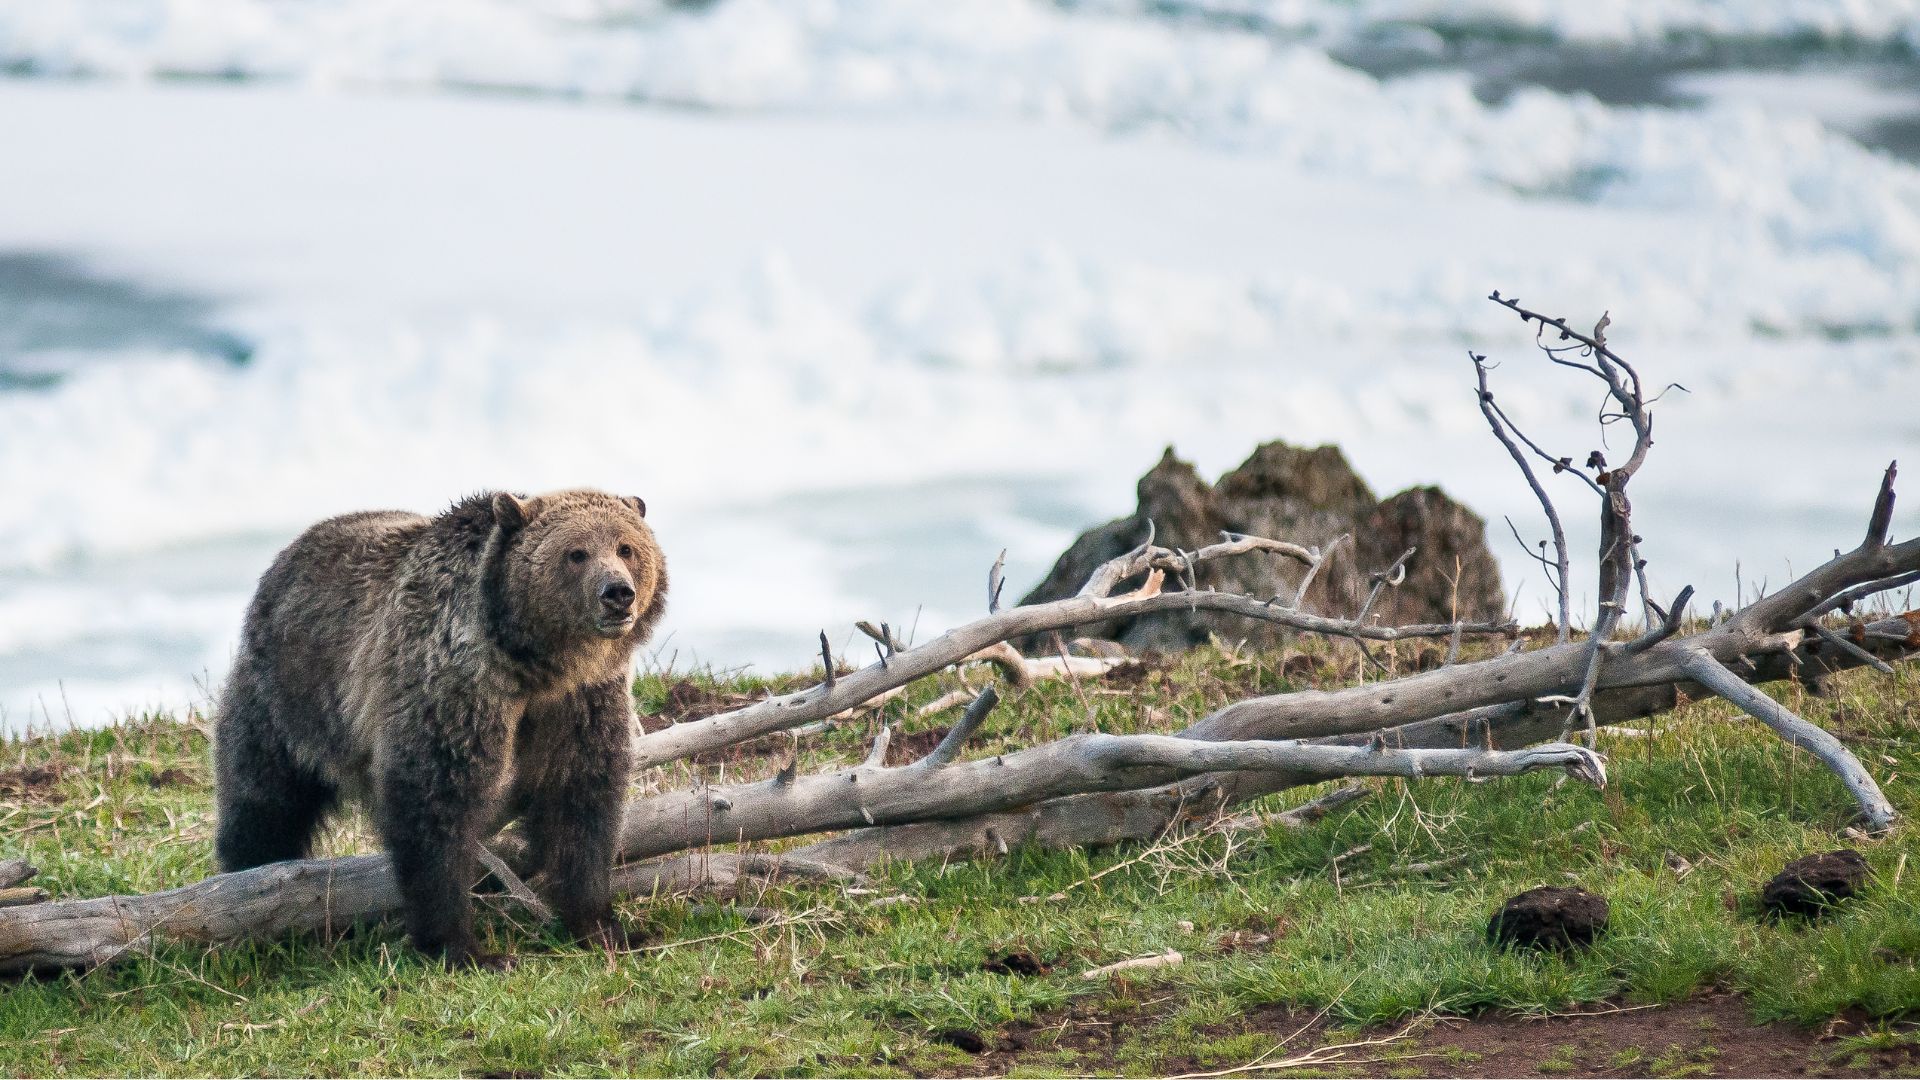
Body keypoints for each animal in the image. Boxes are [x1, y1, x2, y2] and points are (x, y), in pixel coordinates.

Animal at [212, 488, 668, 968]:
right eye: (576, 553)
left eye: (626, 547)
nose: (617, 593)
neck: (537, 664)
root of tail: (286, 556)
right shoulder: (454, 683)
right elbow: (436, 799)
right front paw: (464, 948)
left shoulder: (580, 700)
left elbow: (579, 796)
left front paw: (604, 926)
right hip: (291, 698)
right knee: (264, 798)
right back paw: (249, 882)